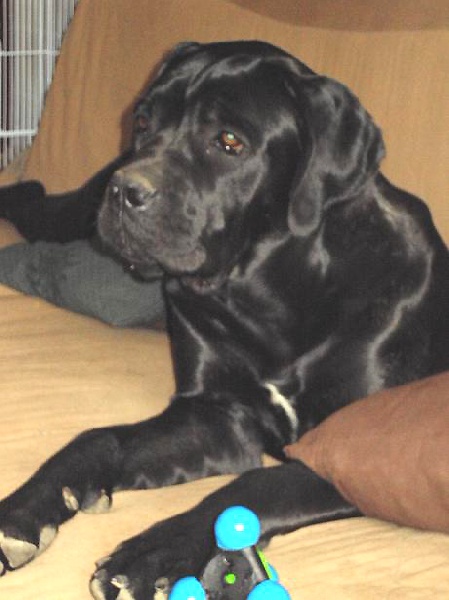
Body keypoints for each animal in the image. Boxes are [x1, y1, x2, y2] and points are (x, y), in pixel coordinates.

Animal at [0, 41, 448, 600]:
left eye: (230, 141)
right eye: (144, 121)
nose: (124, 190)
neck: (268, 294)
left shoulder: (356, 447)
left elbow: (257, 484)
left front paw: (155, 551)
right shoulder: (213, 415)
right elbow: (99, 438)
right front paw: (23, 512)